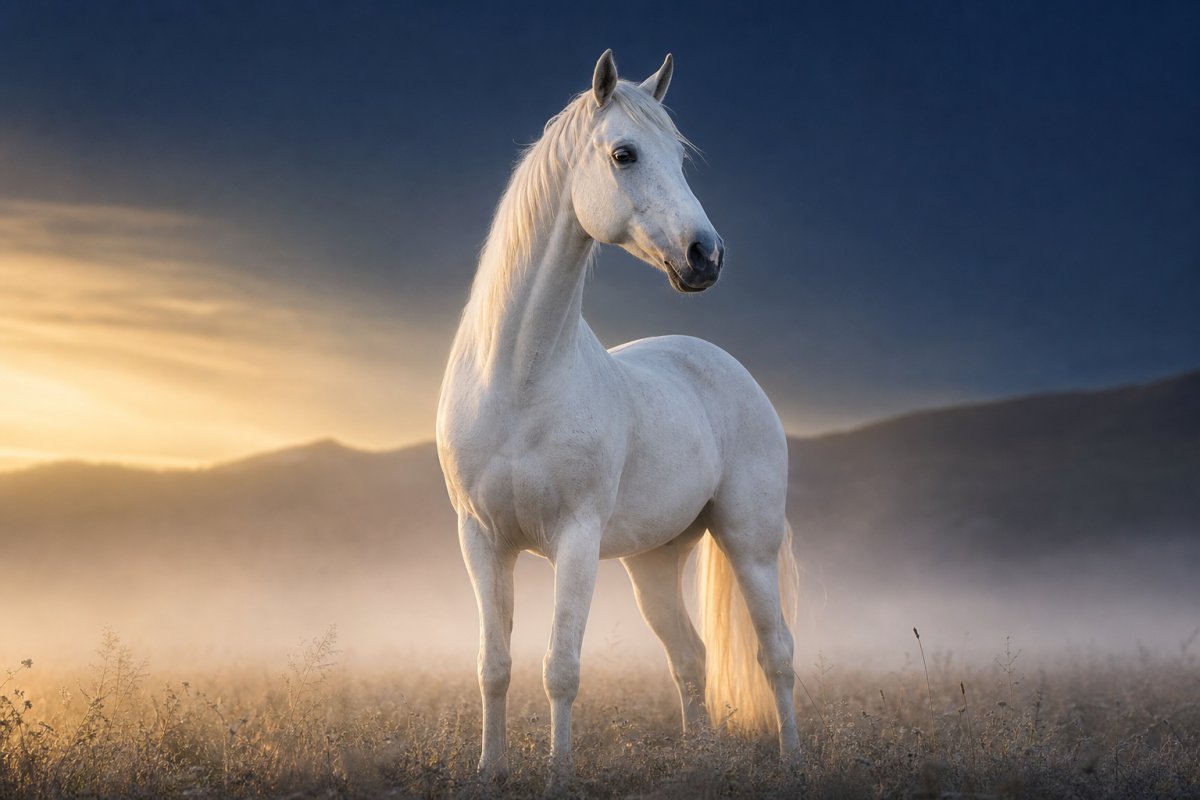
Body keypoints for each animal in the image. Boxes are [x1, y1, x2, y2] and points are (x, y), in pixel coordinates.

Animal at [436, 50, 800, 777]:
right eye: (624, 153)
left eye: (680, 158)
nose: (705, 256)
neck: (517, 379)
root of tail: (724, 365)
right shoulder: (480, 539)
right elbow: (495, 665)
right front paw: (491, 770)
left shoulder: (575, 539)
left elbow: (561, 667)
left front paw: (558, 774)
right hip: (654, 563)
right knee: (690, 657)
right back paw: (700, 760)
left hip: (750, 543)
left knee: (776, 654)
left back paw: (796, 761)